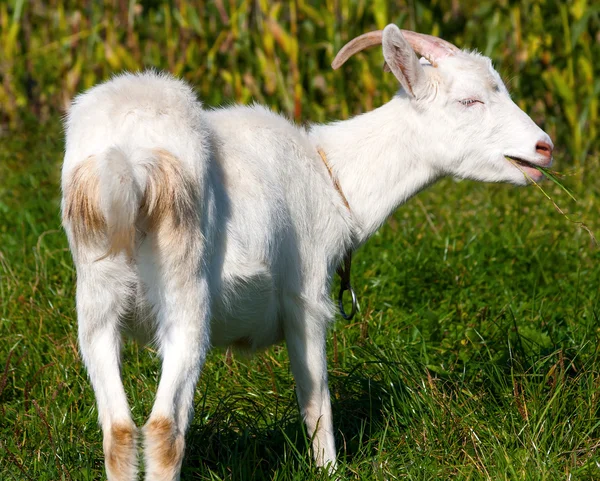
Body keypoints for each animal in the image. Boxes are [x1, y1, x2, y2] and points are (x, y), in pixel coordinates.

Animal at [61, 24, 552, 478]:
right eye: (469, 101)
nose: (544, 148)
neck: (331, 172)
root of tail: (132, 162)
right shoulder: (307, 296)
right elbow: (317, 400)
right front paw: (328, 468)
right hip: (185, 291)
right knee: (164, 429)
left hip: (96, 297)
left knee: (119, 431)